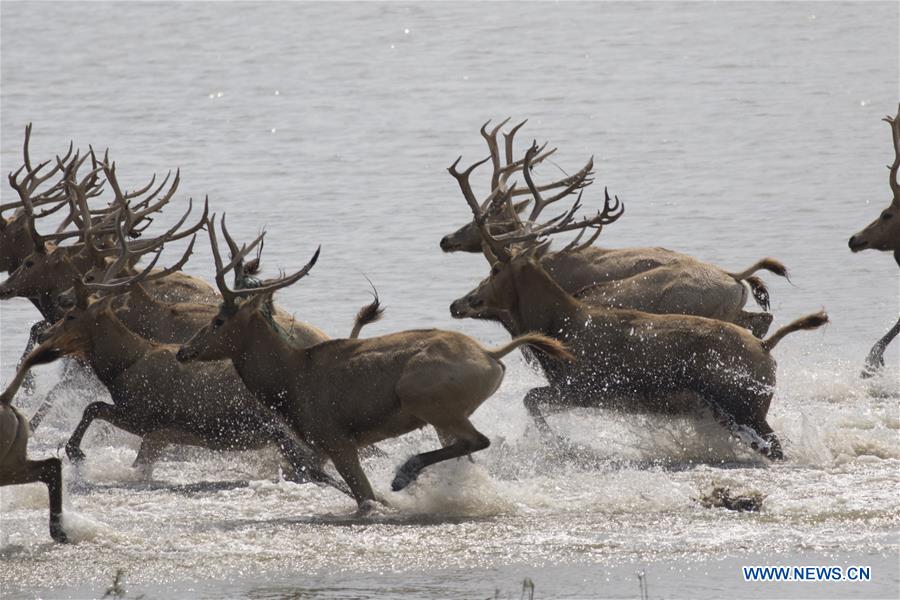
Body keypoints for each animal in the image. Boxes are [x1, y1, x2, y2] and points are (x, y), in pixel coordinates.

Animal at [175, 218, 568, 512]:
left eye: (218, 321)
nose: (183, 352)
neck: (292, 379)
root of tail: (493, 356)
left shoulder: (337, 439)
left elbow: (362, 496)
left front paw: (386, 495)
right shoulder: (319, 446)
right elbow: (314, 473)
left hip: (423, 399)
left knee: (478, 439)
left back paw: (403, 474)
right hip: (443, 415)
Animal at [446, 154, 828, 460]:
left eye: (495, 269)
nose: (459, 303)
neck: (557, 325)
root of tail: (766, 347)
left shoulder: (583, 387)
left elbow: (530, 401)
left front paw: (559, 444)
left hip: (743, 405)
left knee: (776, 446)